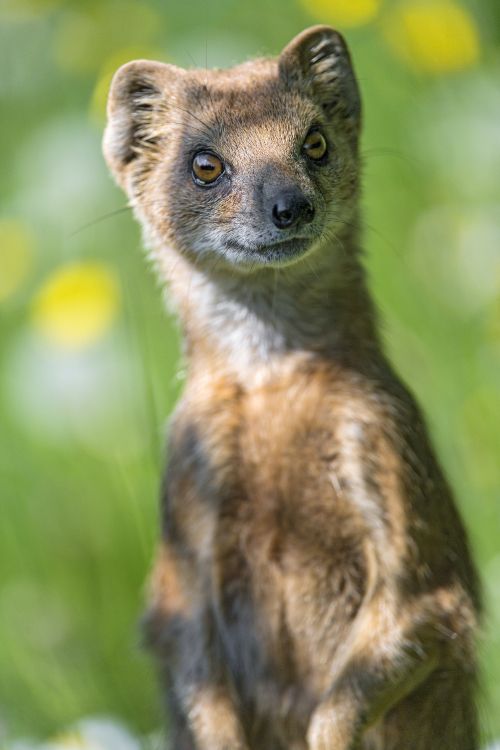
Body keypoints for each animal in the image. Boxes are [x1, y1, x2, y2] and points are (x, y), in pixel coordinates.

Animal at [102, 25, 480, 750]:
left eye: (315, 142)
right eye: (205, 164)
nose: (290, 205)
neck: (274, 384)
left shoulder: (390, 458)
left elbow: (398, 633)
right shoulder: (185, 514)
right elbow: (194, 662)